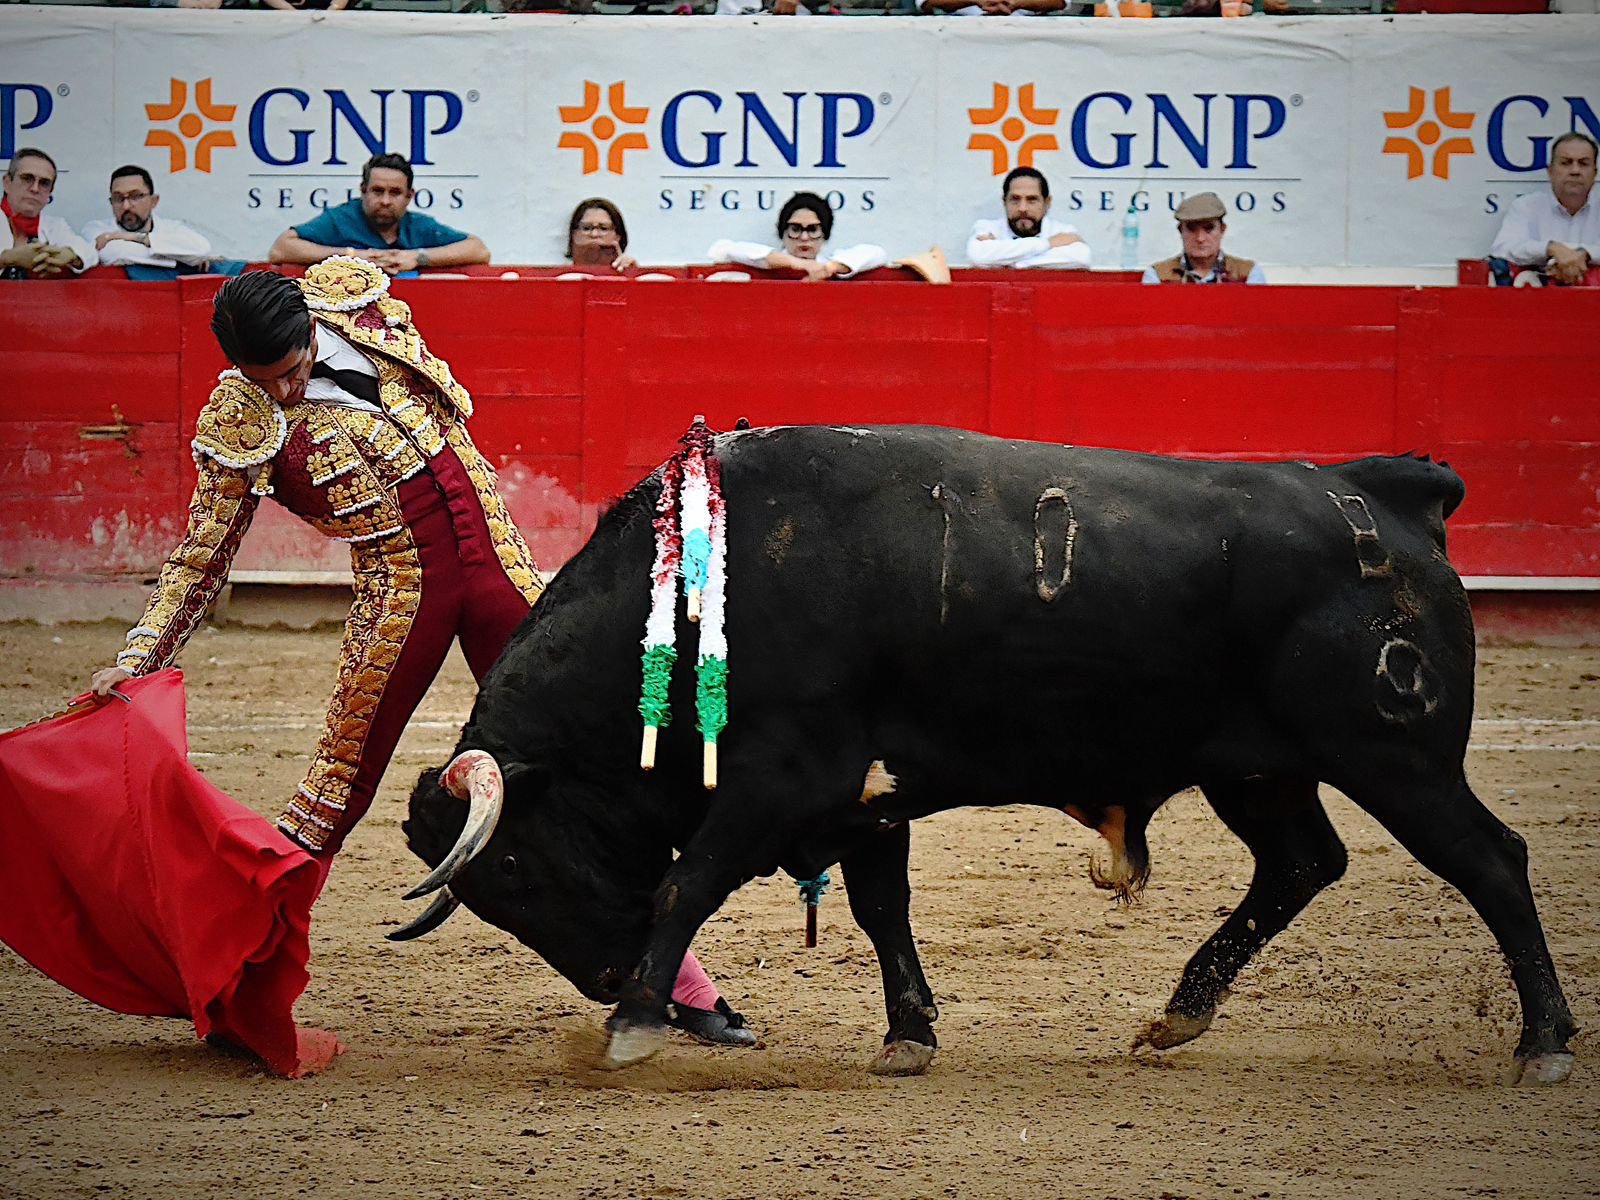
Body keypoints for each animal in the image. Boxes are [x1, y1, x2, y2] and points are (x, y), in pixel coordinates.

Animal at [395, 424, 1575, 1086]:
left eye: (513, 867)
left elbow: (689, 881)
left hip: (1396, 758)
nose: (605, 975)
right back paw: (1177, 1015)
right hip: (1257, 768)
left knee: (1492, 861)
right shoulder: (863, 800)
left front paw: (633, 1026)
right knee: (1301, 865)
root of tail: (1388, 494)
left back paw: (1545, 1045)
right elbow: (882, 911)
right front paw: (907, 1037)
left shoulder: (784, 780)